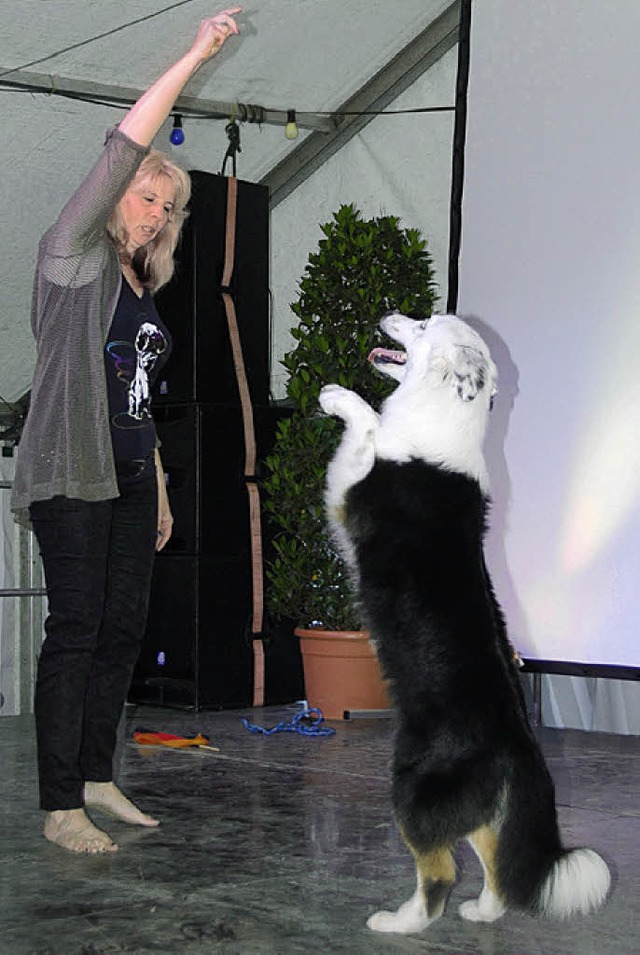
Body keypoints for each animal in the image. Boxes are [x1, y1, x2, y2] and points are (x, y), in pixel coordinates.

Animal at [318, 312, 608, 932]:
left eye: (424, 324)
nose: (390, 316)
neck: (442, 408)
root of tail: (519, 756)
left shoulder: (353, 485)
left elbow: (367, 426)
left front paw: (338, 397)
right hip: (476, 815)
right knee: (494, 868)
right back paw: (480, 912)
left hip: (413, 786)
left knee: (439, 875)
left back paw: (397, 923)